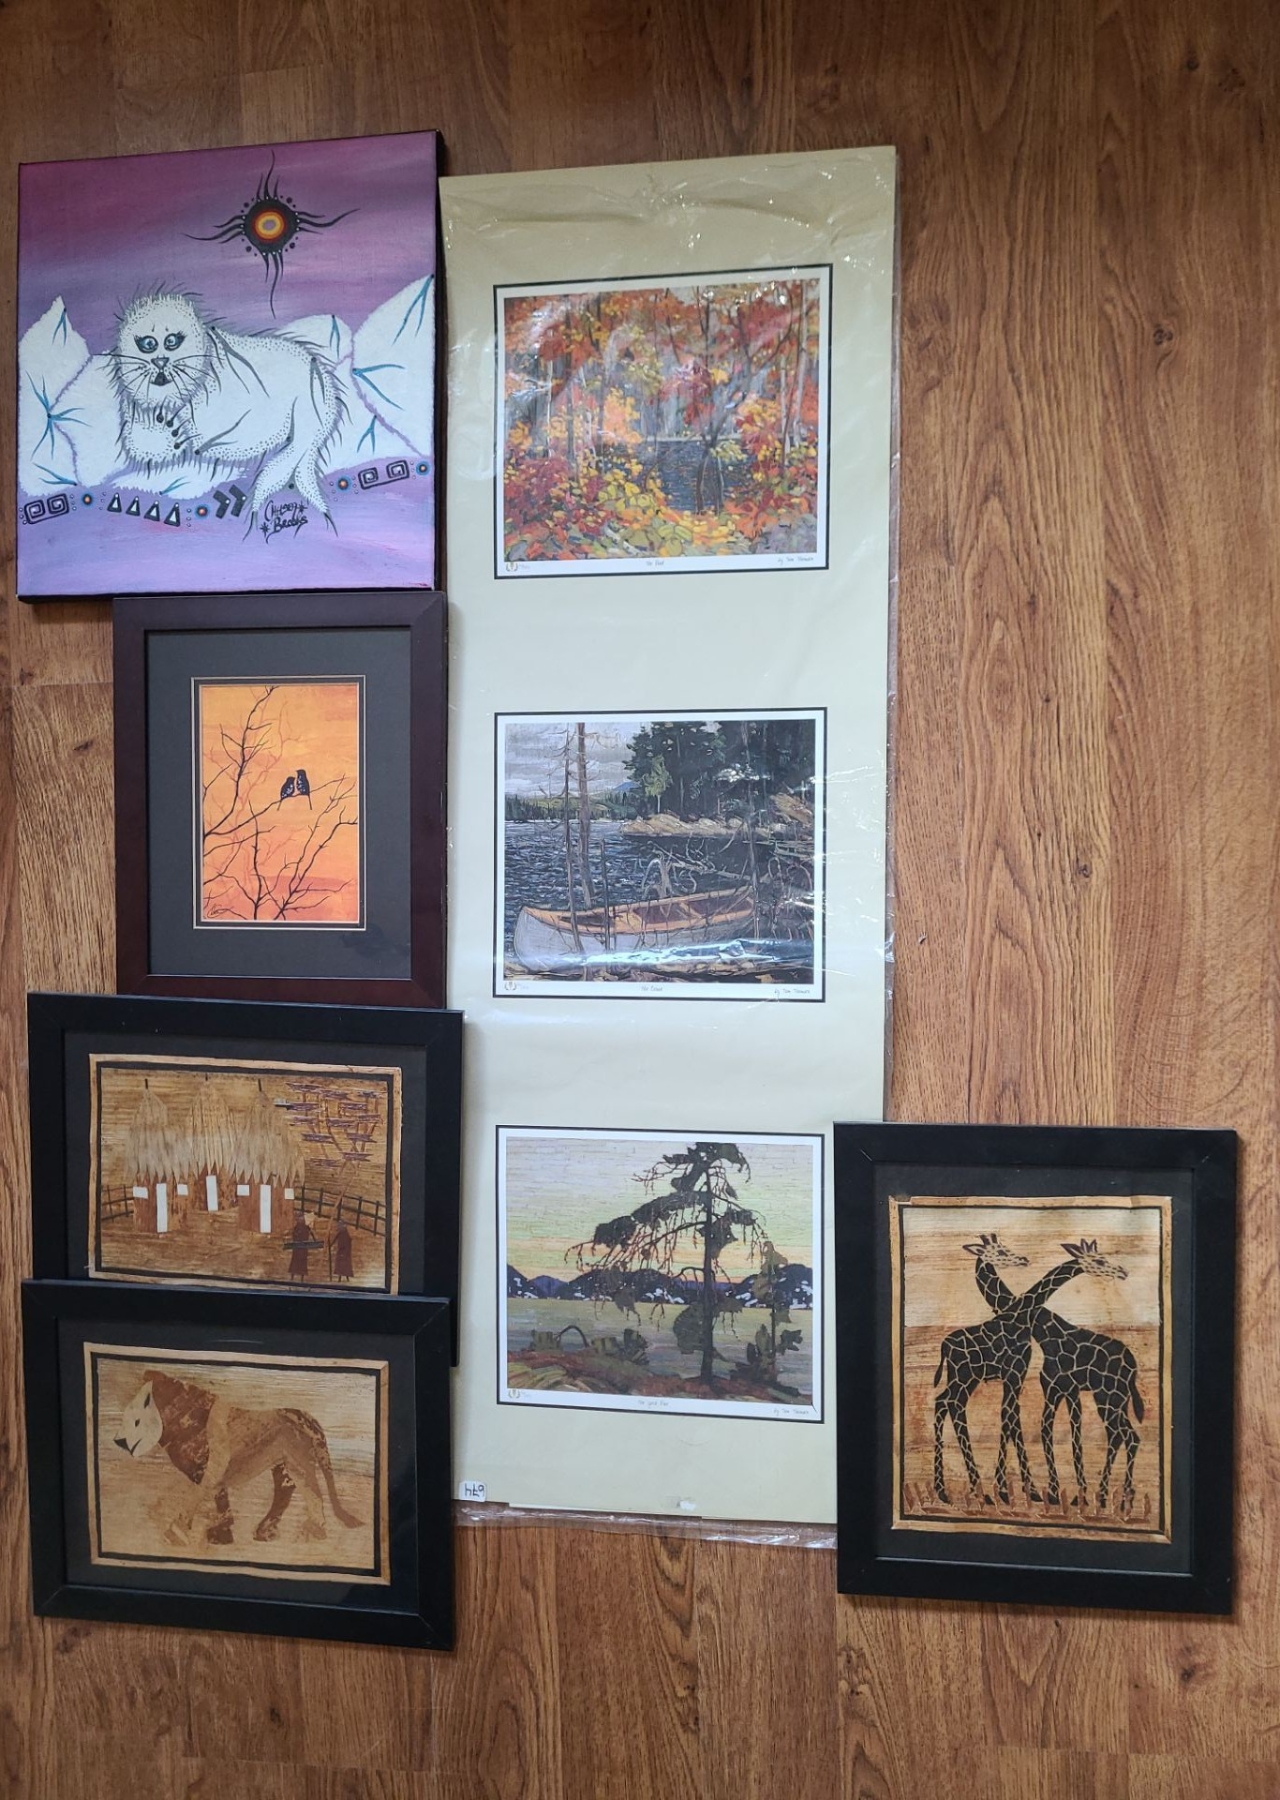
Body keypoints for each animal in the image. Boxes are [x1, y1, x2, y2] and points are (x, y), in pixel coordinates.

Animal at [113, 1368, 362, 1549]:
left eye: (136, 1420)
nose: (119, 1441)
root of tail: (308, 1417)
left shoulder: (212, 1465)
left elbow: (198, 1496)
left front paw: (175, 1534)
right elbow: (220, 1498)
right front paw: (222, 1534)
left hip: (297, 1460)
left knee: (310, 1489)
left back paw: (312, 1531)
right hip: (281, 1462)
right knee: (286, 1488)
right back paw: (266, 1532)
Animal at [974, 1239, 1144, 1513]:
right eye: (1099, 1260)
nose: (1122, 1272)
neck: (1047, 1335)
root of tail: (1133, 1366)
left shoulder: (1061, 1389)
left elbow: (1056, 1431)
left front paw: (1067, 1494)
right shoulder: (1058, 1389)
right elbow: (1055, 1431)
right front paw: (1062, 1494)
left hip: (1109, 1397)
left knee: (1122, 1435)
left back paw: (1110, 1498)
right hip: (1116, 1400)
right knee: (1128, 1436)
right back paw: (1118, 1499)